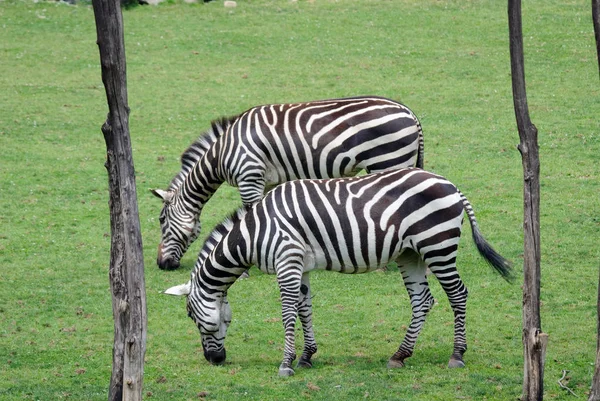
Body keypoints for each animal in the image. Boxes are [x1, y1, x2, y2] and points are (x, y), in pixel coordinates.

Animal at [150, 95, 424, 268]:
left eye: (162, 220)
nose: (162, 265)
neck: (221, 153)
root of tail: (410, 113)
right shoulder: (265, 181)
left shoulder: (249, 176)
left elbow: (249, 214)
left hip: (389, 160)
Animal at [165, 167, 516, 376]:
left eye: (191, 317)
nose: (214, 360)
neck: (255, 233)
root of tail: (451, 185)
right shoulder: (301, 265)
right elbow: (305, 308)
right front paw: (307, 356)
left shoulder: (287, 260)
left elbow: (288, 311)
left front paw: (286, 363)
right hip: (410, 254)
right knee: (423, 301)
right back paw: (400, 354)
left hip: (437, 245)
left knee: (458, 294)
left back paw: (457, 354)